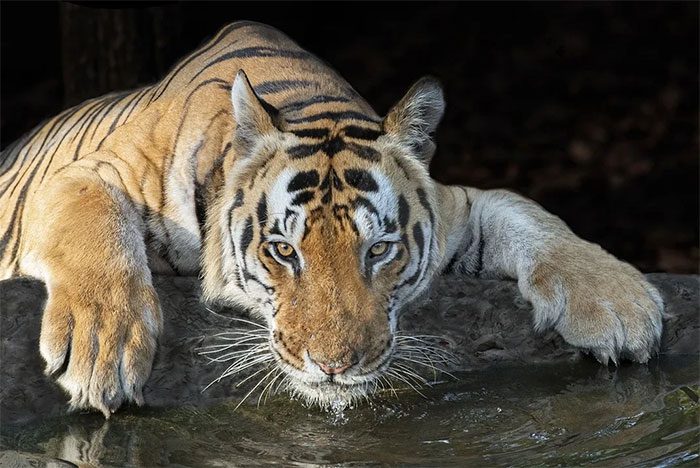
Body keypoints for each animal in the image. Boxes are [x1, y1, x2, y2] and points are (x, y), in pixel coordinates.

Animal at [0, 21, 664, 416]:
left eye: (379, 250)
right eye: (283, 251)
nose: (334, 367)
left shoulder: (454, 205)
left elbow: (525, 212)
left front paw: (622, 306)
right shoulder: (92, 173)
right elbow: (95, 226)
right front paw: (103, 349)